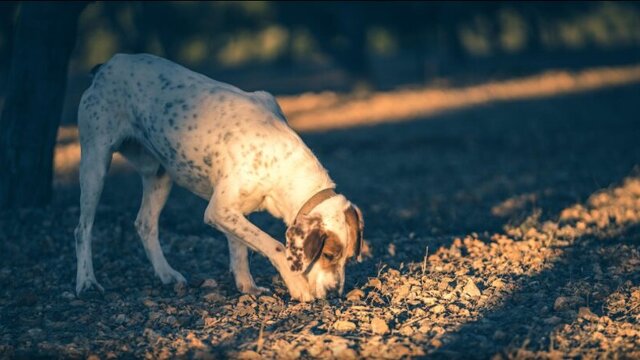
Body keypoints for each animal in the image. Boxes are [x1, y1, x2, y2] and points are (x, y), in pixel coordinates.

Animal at [74, 52, 364, 300]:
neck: (279, 159)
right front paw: (296, 285)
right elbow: (273, 245)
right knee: (83, 229)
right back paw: (86, 282)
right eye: (329, 255)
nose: (335, 294)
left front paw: (247, 286)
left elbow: (240, 247)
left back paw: (167, 274)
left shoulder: (232, 211)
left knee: (145, 224)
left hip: (159, 174)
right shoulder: (219, 209)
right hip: (95, 162)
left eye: (349, 259)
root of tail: (106, 66)